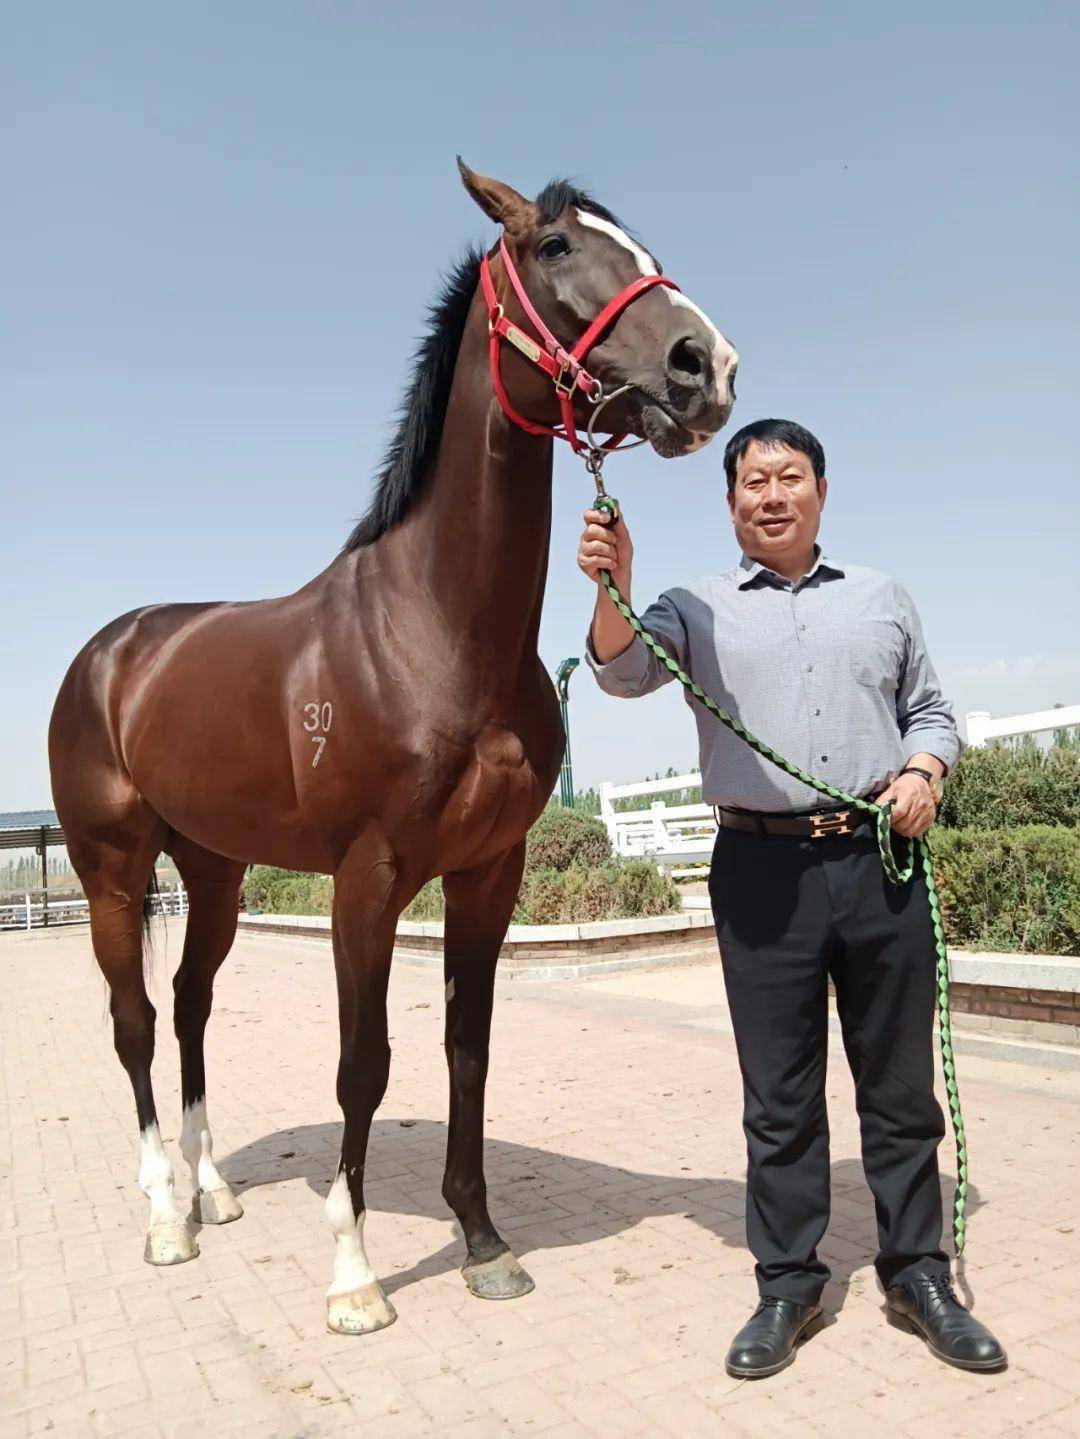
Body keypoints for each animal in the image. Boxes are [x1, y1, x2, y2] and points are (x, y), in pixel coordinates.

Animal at [48, 160, 738, 1335]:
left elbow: (468, 1046)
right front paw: (354, 1273)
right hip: (111, 869)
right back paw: (165, 1217)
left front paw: (484, 1240)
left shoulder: (489, 872)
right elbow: (362, 1063)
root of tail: (112, 652)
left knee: (189, 1006)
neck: (432, 626)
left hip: (214, 871)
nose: (707, 365)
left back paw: (215, 1190)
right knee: (134, 1020)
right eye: (556, 246)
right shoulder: (367, 879)